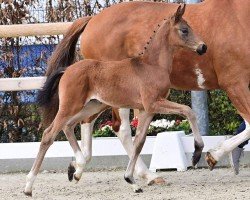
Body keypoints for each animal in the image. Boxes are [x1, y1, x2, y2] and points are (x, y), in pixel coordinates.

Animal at [24, 5, 207, 195]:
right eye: (184, 30)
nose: (203, 47)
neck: (152, 65)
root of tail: (66, 70)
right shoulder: (154, 103)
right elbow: (189, 111)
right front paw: (196, 154)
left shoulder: (147, 110)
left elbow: (139, 142)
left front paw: (131, 180)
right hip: (70, 106)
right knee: (49, 134)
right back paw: (29, 186)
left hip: (91, 106)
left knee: (69, 126)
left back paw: (76, 168)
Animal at [44, 0, 249, 184]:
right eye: (184, 30)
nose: (203, 47)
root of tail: (93, 19)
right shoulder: (234, 83)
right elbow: (248, 125)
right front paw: (210, 155)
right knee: (120, 128)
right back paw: (145, 175)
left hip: (100, 99)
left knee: (88, 122)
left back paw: (78, 167)